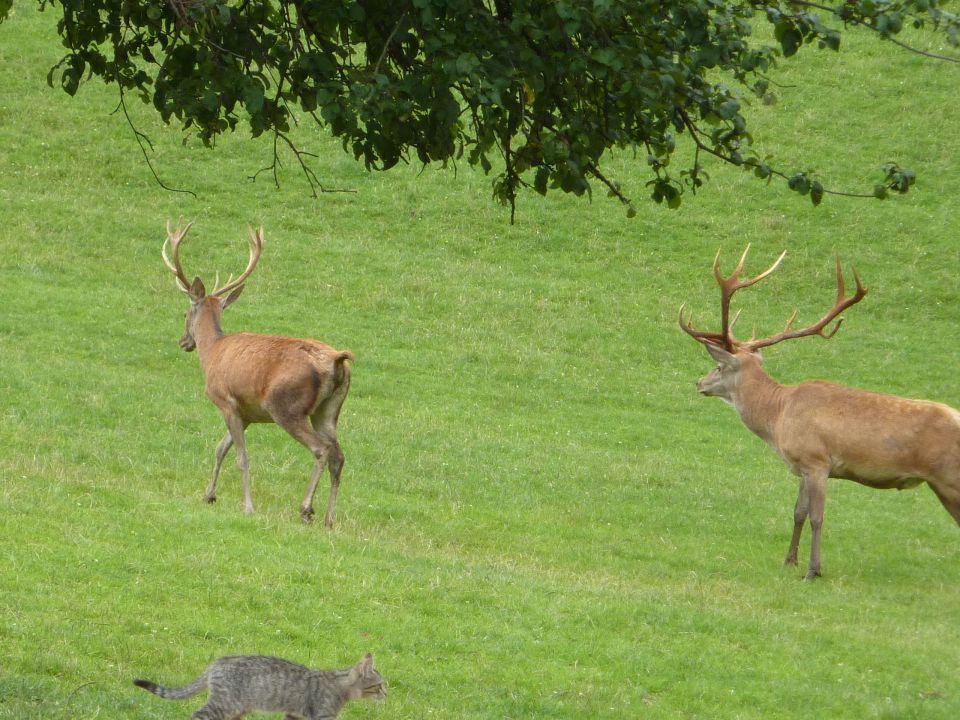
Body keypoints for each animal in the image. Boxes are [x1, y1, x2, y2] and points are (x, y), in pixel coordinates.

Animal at [132, 652, 386, 720]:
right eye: (381, 685)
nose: (387, 693)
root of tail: (217, 662)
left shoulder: (295, 716)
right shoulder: (323, 716)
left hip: (236, 710)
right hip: (224, 704)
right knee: (197, 715)